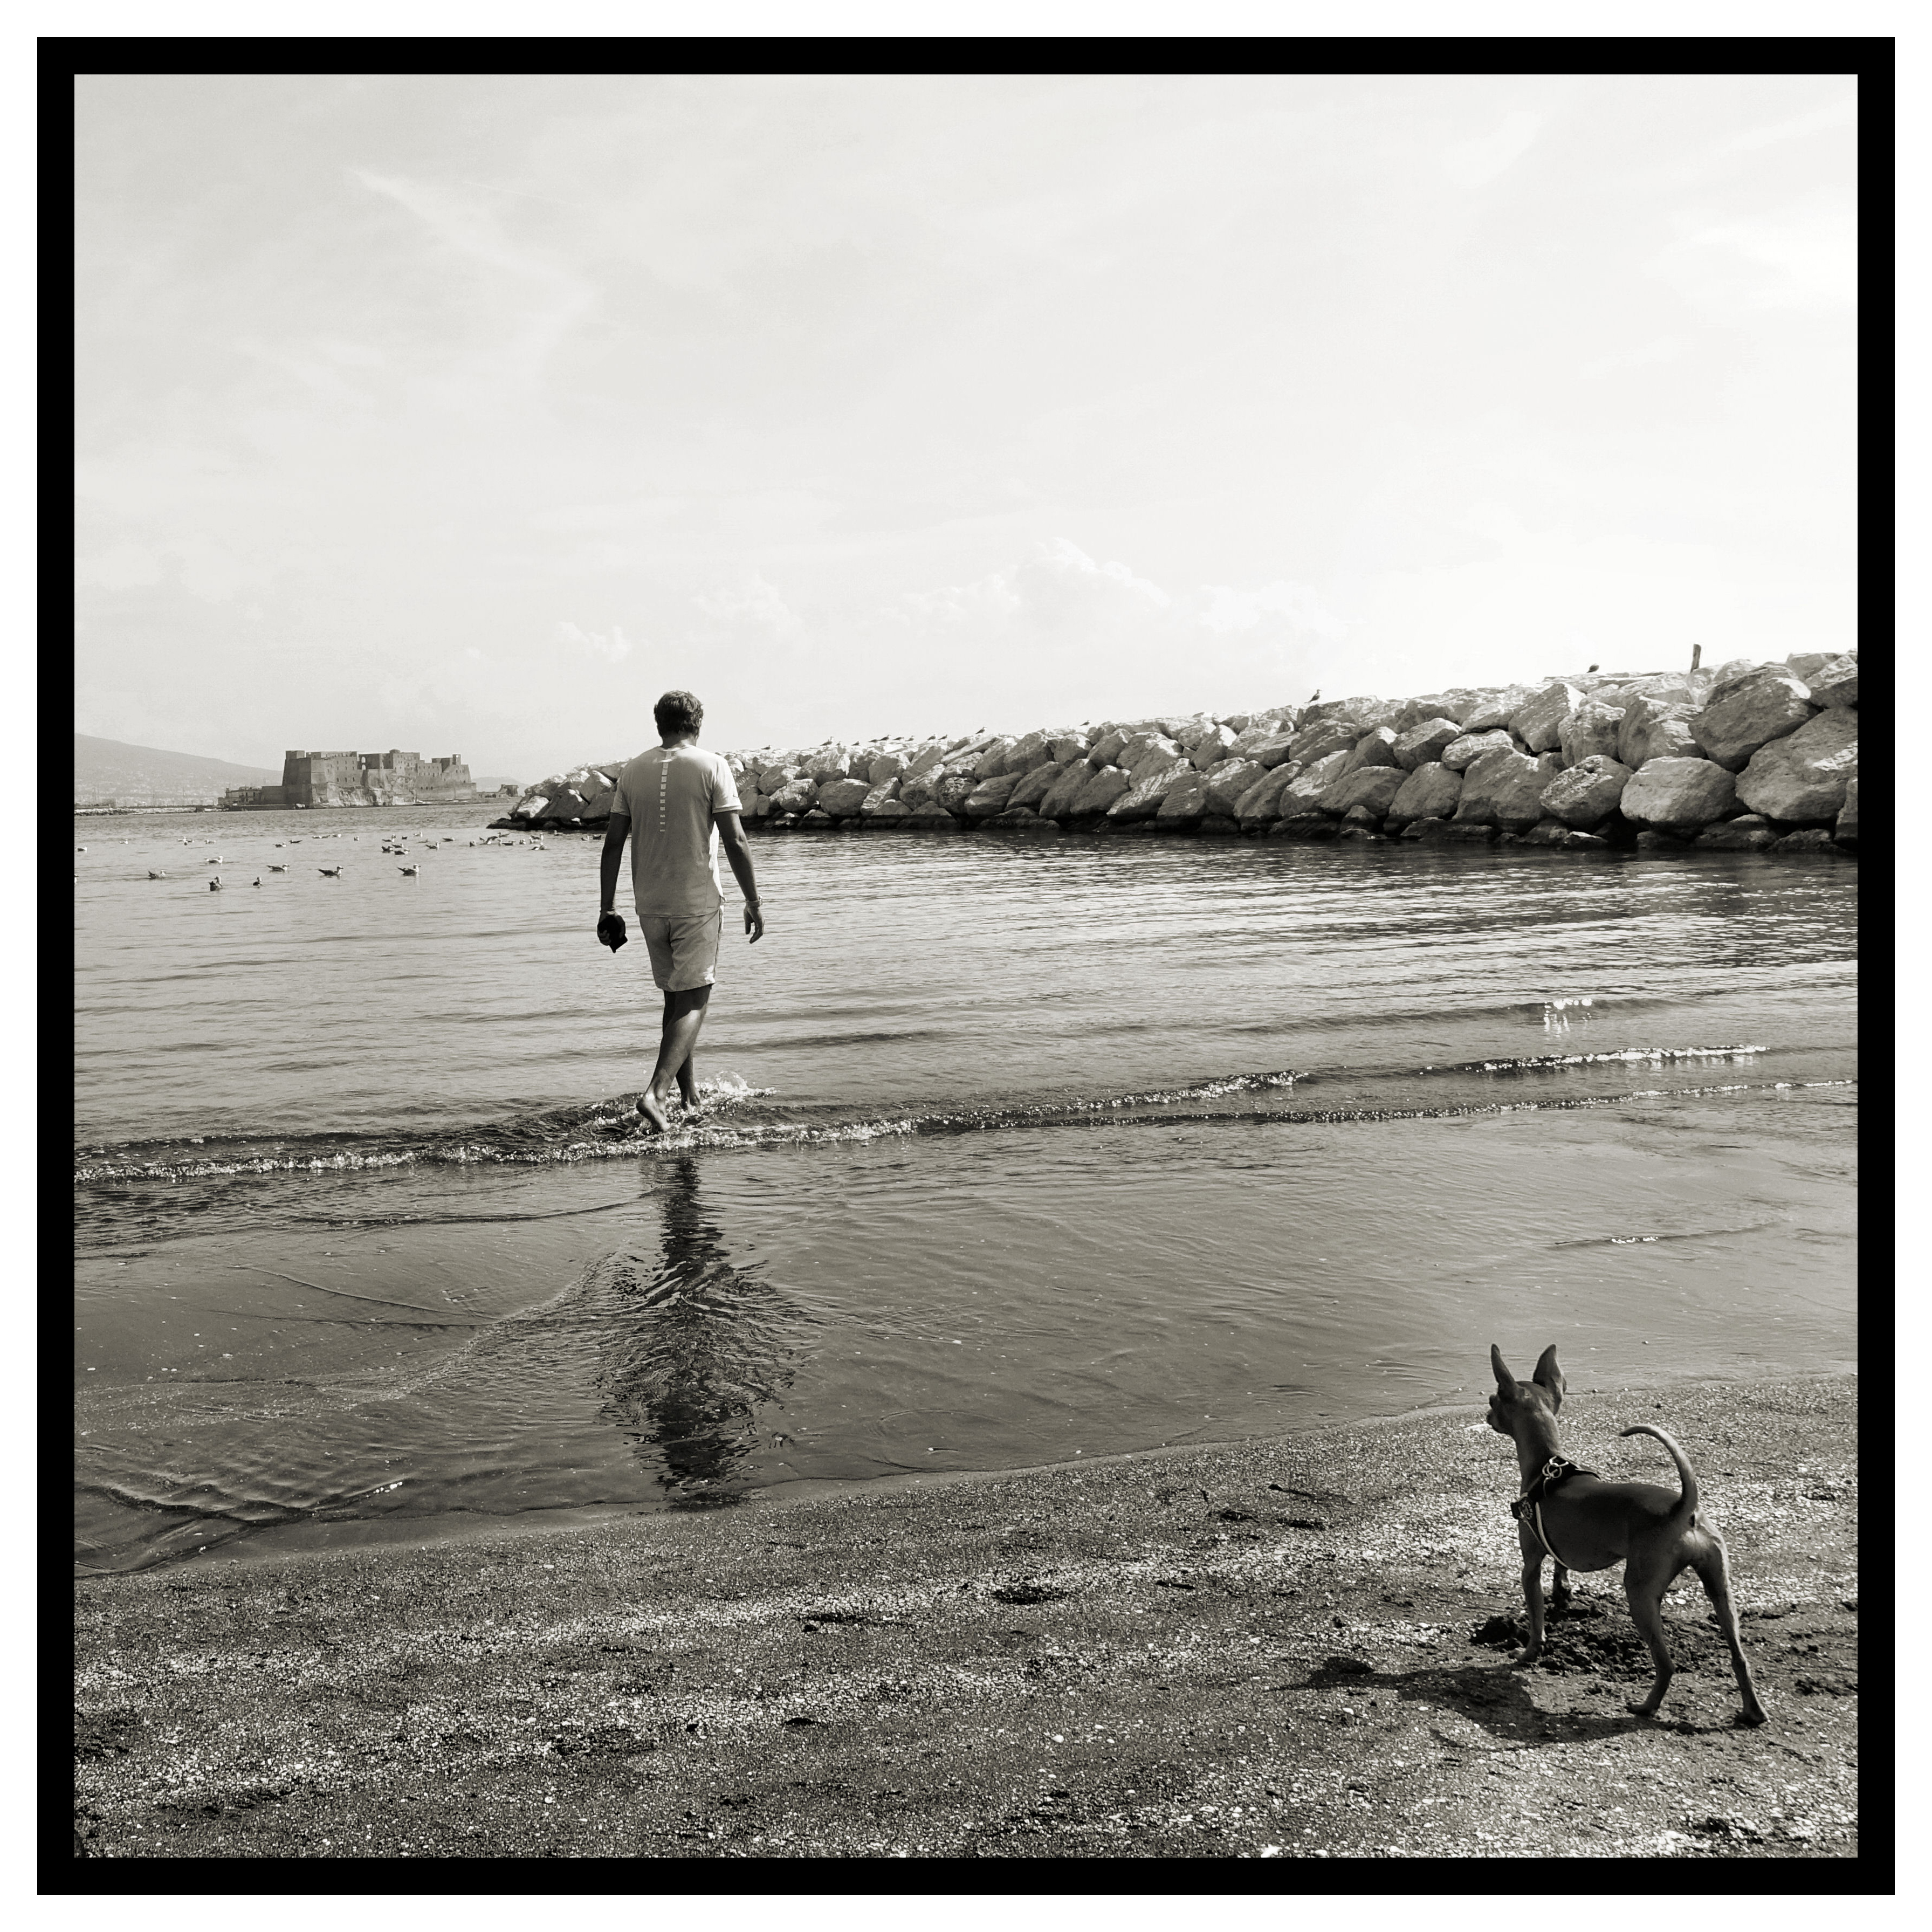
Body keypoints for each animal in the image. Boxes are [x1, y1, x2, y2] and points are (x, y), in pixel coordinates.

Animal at [1491, 1344, 1770, 1738]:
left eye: (1492, 1399)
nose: (1486, 1412)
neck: (1548, 1466)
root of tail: (1683, 1508)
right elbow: (1561, 1572)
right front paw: (1563, 1592)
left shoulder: (1529, 1565)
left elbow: (1536, 1619)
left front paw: (1527, 1653)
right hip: (1720, 1587)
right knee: (1739, 1656)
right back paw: (1752, 1712)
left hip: (1639, 1593)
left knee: (1666, 1663)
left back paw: (1646, 1706)